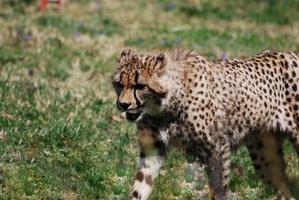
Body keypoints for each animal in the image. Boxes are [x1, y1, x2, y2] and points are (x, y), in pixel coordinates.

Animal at [112, 47, 299, 199]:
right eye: (119, 84)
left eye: (140, 85)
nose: (123, 104)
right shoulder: (153, 150)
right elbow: (140, 188)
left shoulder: (218, 148)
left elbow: (218, 188)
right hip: (263, 154)